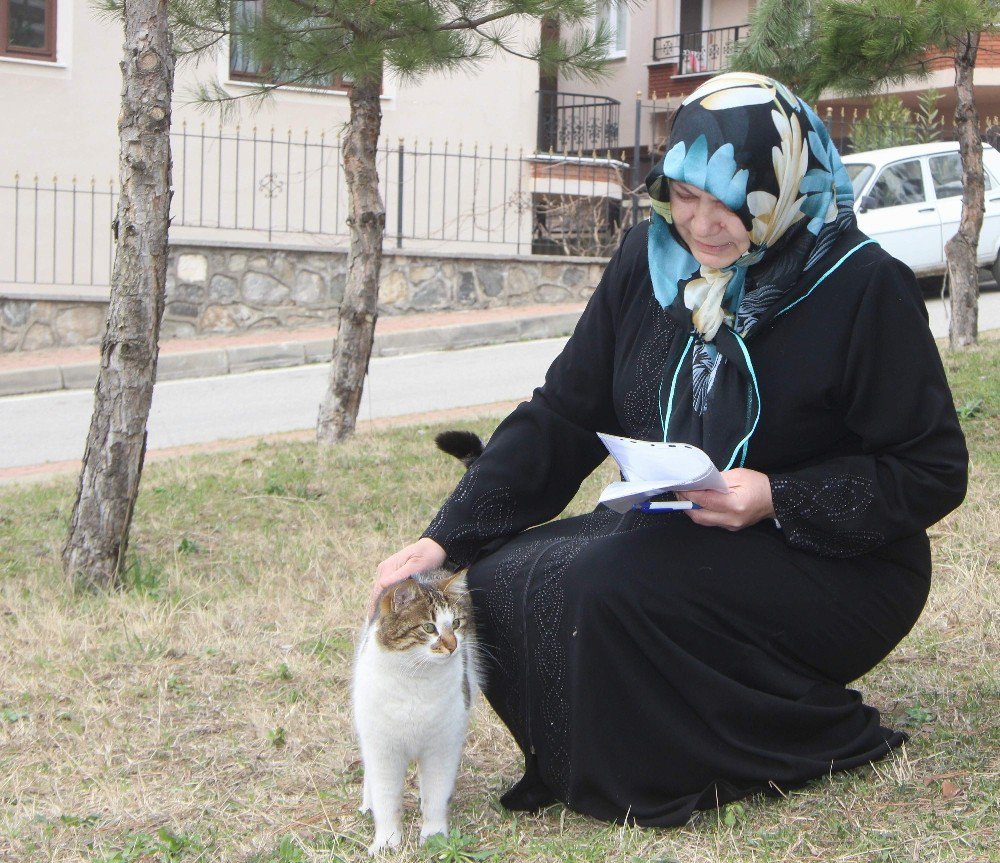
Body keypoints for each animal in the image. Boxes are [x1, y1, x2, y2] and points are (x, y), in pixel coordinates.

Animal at [352, 572, 476, 852]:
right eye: (429, 628)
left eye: (456, 623)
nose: (452, 646)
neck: (417, 678)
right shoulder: (383, 749)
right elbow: (386, 799)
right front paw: (386, 842)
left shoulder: (442, 746)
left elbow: (436, 795)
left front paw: (434, 836)